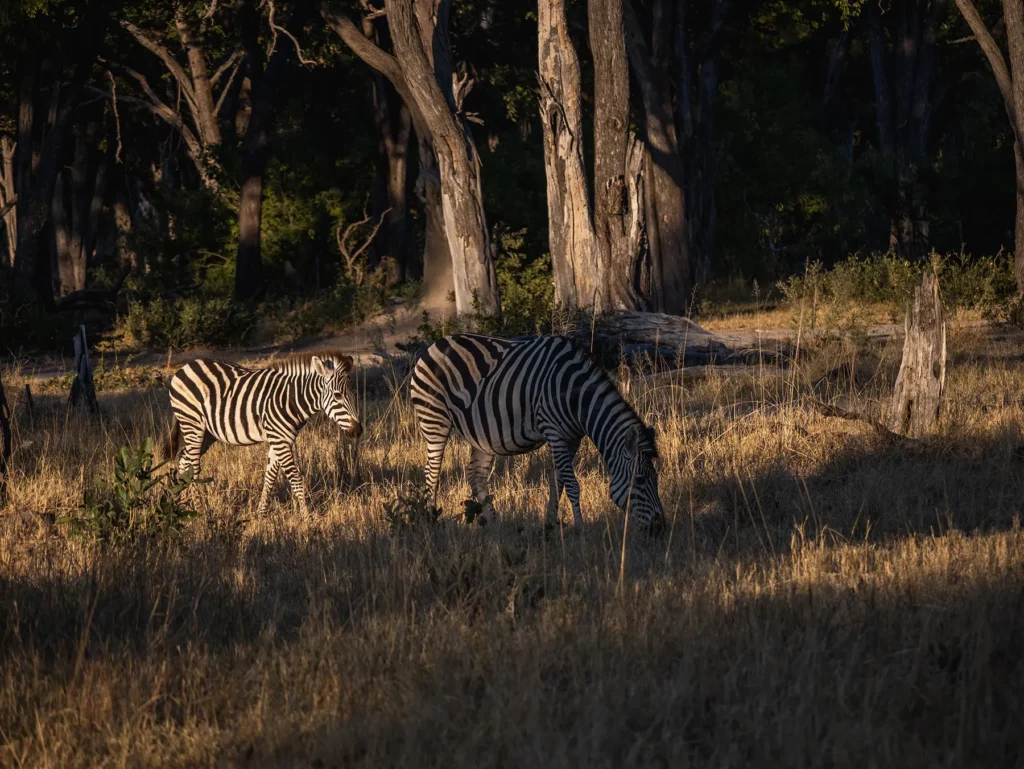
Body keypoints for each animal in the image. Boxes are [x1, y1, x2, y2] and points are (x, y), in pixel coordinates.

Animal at [166, 351, 362, 516]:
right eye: (337, 395)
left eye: (354, 394)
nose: (358, 431)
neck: (290, 399)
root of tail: (185, 367)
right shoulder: (280, 440)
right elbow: (295, 478)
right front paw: (308, 517)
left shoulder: (280, 439)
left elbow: (270, 477)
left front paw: (261, 515)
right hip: (192, 423)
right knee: (193, 466)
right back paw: (200, 511)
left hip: (207, 432)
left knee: (184, 461)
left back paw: (180, 504)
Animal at [409, 333, 664, 531]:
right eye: (640, 479)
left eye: (656, 478)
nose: (660, 526)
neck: (576, 396)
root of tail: (434, 345)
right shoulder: (555, 433)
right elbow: (572, 484)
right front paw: (581, 527)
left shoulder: (572, 439)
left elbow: (557, 482)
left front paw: (550, 523)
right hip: (434, 419)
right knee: (432, 472)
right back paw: (431, 521)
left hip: (481, 434)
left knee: (476, 476)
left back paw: (496, 525)